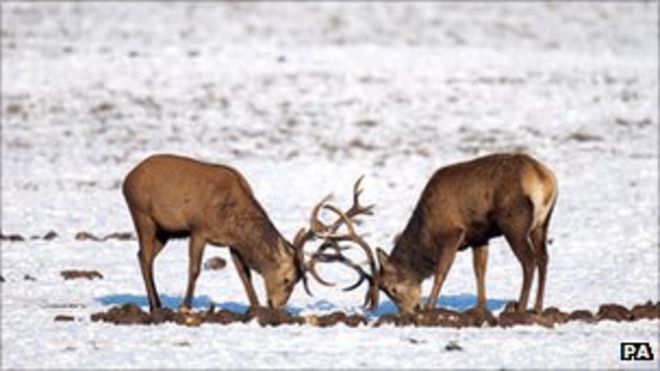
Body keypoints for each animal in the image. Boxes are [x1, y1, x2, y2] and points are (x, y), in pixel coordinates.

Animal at [123, 154, 372, 314]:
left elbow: (245, 274)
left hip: (164, 232)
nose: (277, 306)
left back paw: (155, 303)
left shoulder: (233, 243)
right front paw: (185, 307)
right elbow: (194, 270)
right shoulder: (198, 230)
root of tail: (127, 179)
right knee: (146, 257)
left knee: (141, 255)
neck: (230, 218)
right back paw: (156, 305)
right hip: (142, 215)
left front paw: (255, 307)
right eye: (287, 279)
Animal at [314, 153, 556, 316]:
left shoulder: (452, 232)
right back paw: (538, 308)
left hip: (513, 222)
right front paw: (479, 307)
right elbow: (479, 270)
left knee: (529, 260)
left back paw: (520, 308)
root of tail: (545, 179)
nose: (408, 312)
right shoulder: (480, 236)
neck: (426, 230)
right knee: (544, 258)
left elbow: (441, 271)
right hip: (542, 224)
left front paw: (430, 307)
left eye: (391, 288)